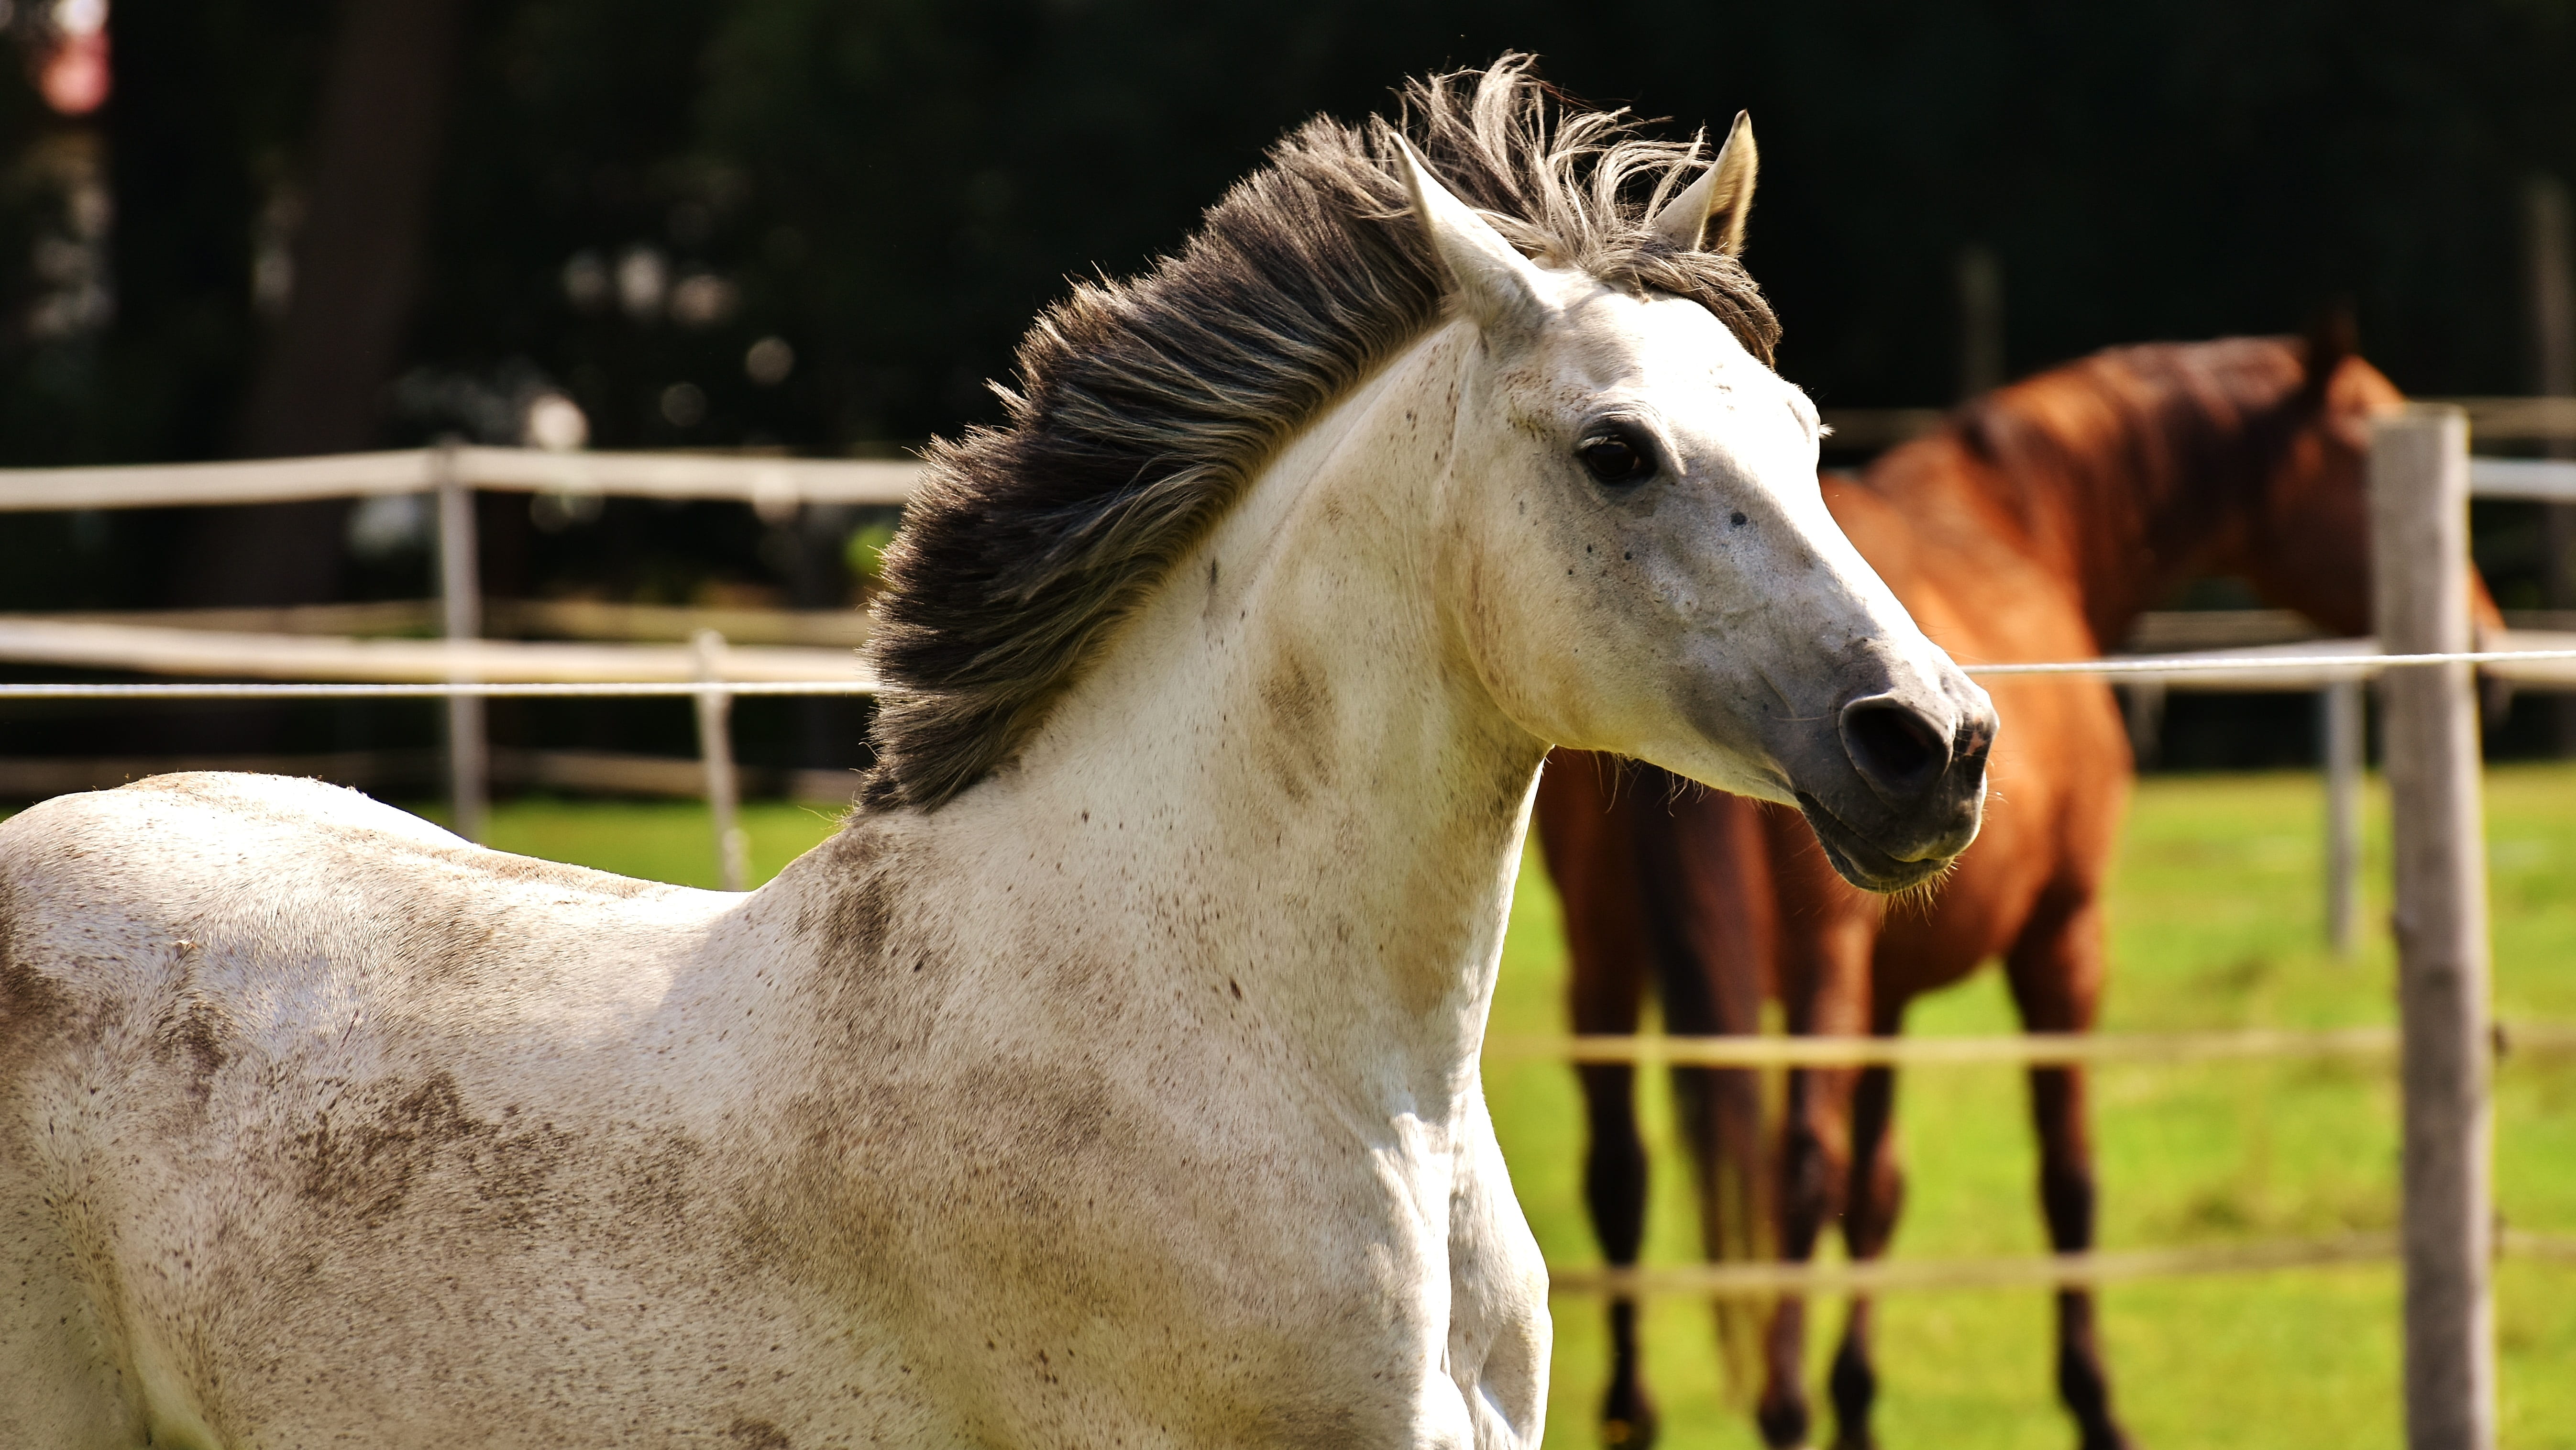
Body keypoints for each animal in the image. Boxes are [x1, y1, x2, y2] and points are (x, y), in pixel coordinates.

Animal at [1538, 331, 2498, 1450]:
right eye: (2356, 446)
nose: (2483, 643)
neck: (2022, 523)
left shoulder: (1891, 994)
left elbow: (1878, 1192)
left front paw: (1858, 1404)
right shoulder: (2060, 938)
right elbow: (2064, 1174)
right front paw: (2093, 1403)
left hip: (1606, 955)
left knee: (1621, 1170)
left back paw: (1637, 1412)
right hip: (1821, 965)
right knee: (1799, 1163)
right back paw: (1781, 1407)